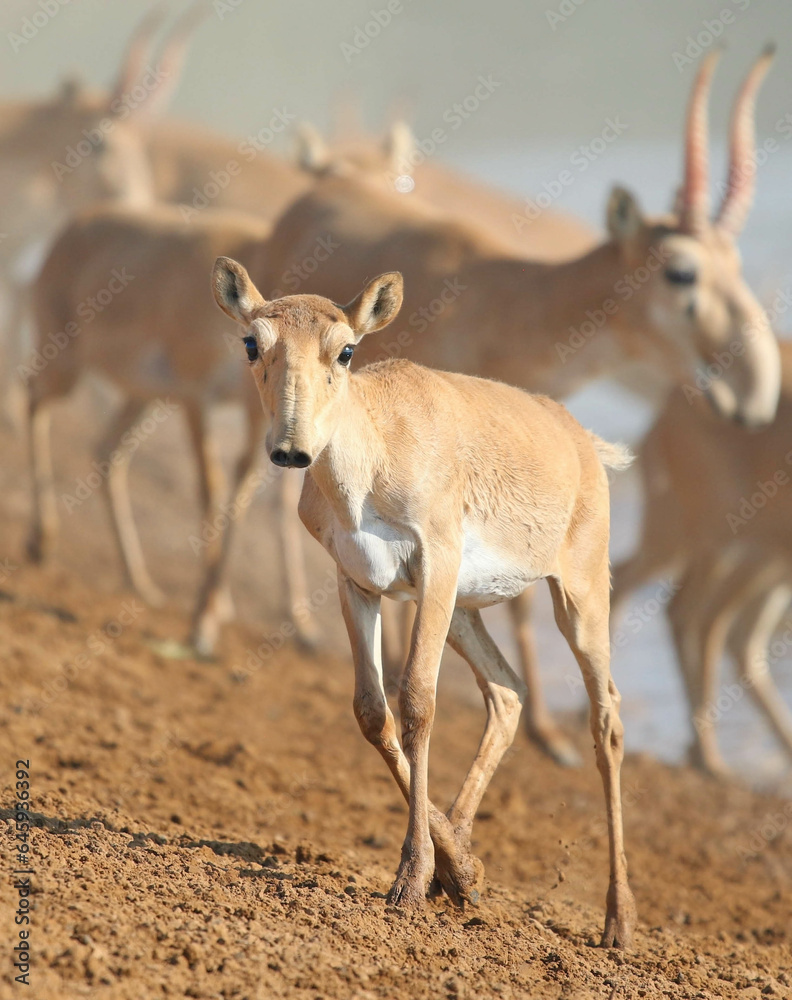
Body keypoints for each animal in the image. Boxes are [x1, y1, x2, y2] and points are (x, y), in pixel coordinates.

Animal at [212, 256, 637, 946]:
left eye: (346, 349)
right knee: (508, 692)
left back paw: (618, 921)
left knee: (607, 724)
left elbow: (417, 702)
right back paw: (461, 868)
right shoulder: (358, 583)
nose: (291, 449)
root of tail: (582, 438)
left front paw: (411, 880)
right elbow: (371, 711)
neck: (374, 450)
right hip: (465, 612)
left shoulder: (434, 569)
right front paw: (456, 871)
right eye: (253, 342)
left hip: (577, 597)